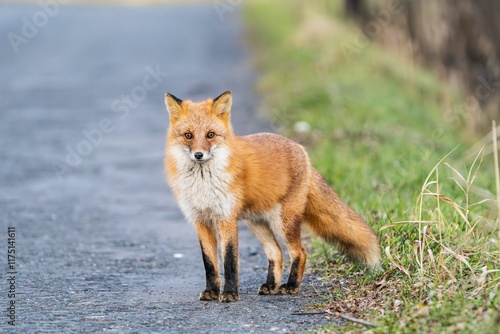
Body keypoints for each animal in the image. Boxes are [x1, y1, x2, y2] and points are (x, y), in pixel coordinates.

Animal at [165, 91, 382, 302]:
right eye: (188, 135)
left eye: (210, 135)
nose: (198, 154)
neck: (203, 184)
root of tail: (301, 149)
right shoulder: (200, 220)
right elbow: (210, 263)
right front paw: (211, 291)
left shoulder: (226, 219)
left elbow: (229, 261)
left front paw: (230, 294)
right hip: (257, 223)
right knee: (277, 252)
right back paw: (271, 286)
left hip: (283, 222)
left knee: (299, 252)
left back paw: (291, 286)